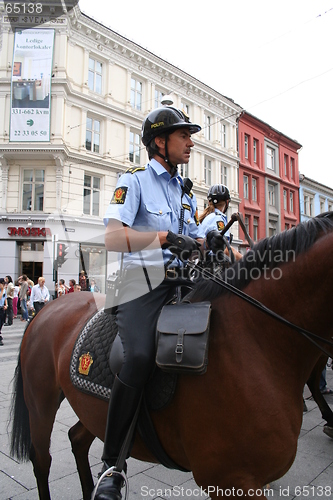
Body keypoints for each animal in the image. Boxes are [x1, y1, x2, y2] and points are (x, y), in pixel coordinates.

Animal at [9, 215, 332, 500]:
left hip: (90, 407)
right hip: (41, 402)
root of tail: (47, 309)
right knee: (42, 460)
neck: (257, 338)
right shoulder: (230, 480)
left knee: (77, 439)